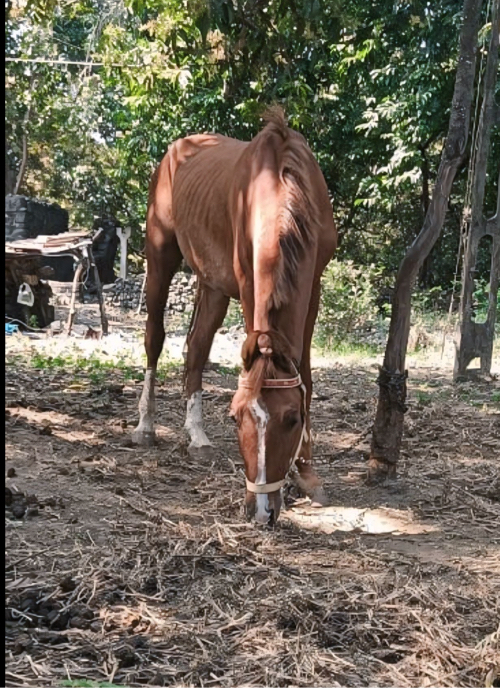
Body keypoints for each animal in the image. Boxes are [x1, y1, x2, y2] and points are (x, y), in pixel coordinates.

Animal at [133, 109, 336, 528]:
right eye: (235, 417)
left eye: (293, 419)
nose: (259, 511)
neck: (284, 183)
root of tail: (177, 150)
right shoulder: (247, 281)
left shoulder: (314, 284)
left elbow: (306, 374)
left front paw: (308, 473)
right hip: (160, 257)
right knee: (154, 338)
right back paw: (145, 425)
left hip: (212, 285)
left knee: (196, 348)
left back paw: (196, 436)